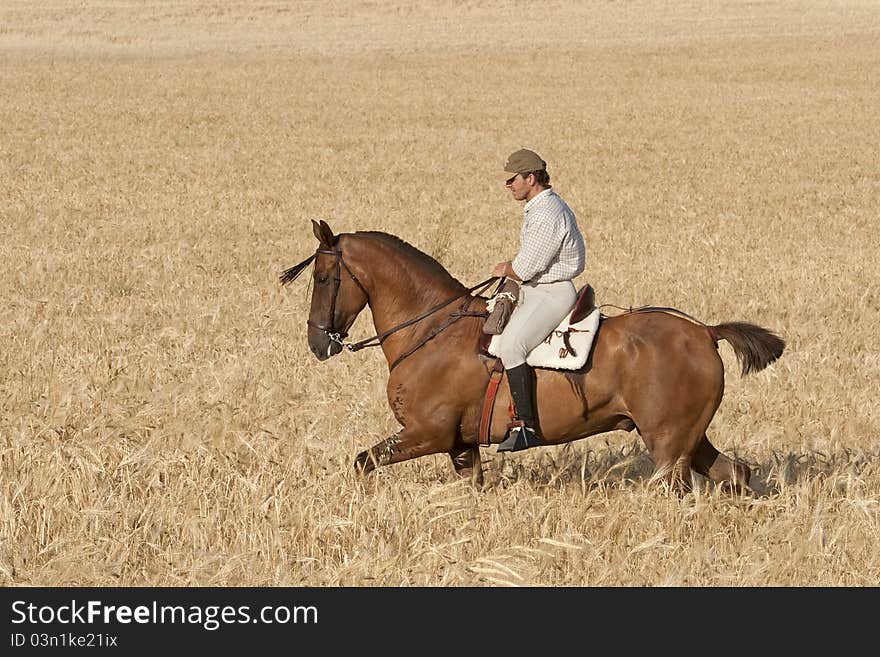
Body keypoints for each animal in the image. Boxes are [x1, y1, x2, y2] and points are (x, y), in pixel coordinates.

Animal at [286, 220, 788, 492]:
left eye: (323, 278)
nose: (317, 343)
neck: (431, 331)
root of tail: (704, 332)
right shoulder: (461, 445)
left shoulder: (427, 434)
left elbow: (363, 461)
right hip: (688, 439)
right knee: (735, 472)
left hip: (667, 445)